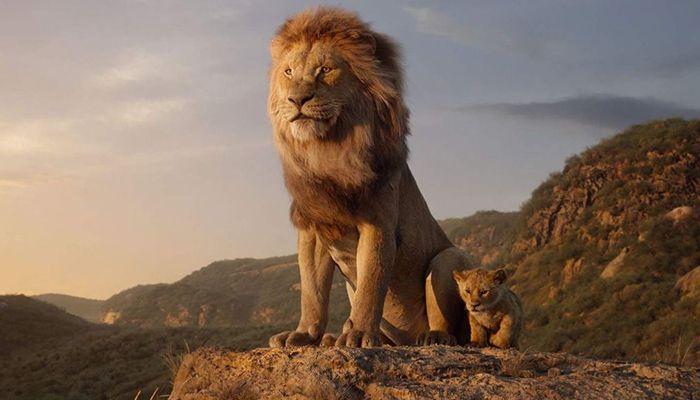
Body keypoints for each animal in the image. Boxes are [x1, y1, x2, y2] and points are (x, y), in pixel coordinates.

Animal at [267, 7, 471, 348]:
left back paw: (433, 337)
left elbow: (371, 285)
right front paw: (304, 334)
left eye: (325, 69)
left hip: (448, 258)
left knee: (450, 322)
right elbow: (312, 290)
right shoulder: (314, 228)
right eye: (289, 72)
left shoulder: (378, 224)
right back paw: (332, 338)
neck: (328, 151)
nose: (297, 99)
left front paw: (360, 334)